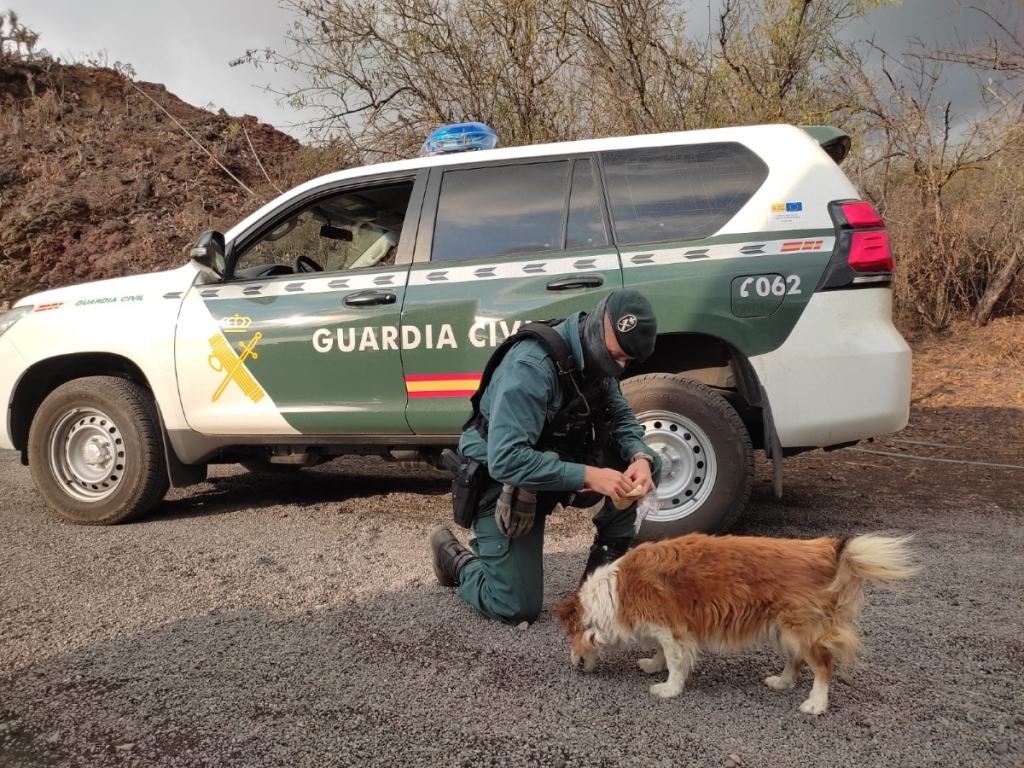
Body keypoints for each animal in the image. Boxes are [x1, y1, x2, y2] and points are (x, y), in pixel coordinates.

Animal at [561, 532, 921, 712]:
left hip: (801, 629)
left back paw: (816, 704)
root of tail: (829, 549)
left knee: (822, 665)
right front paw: (653, 665)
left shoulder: (672, 628)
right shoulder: (672, 629)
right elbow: (665, 653)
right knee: (796, 661)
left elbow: (676, 661)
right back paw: (782, 682)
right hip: (783, 629)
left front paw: (669, 688)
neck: (612, 592)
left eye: (571, 636)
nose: (574, 664)